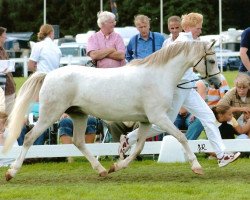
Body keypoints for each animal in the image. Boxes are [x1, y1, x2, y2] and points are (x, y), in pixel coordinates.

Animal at [3, 41, 219, 181]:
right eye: (212, 61)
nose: (217, 82)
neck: (159, 75)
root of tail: (48, 75)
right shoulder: (159, 117)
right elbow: (181, 137)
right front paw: (197, 167)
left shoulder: (147, 120)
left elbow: (139, 146)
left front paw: (117, 166)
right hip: (50, 115)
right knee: (29, 137)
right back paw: (11, 172)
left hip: (79, 115)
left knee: (78, 141)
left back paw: (101, 170)